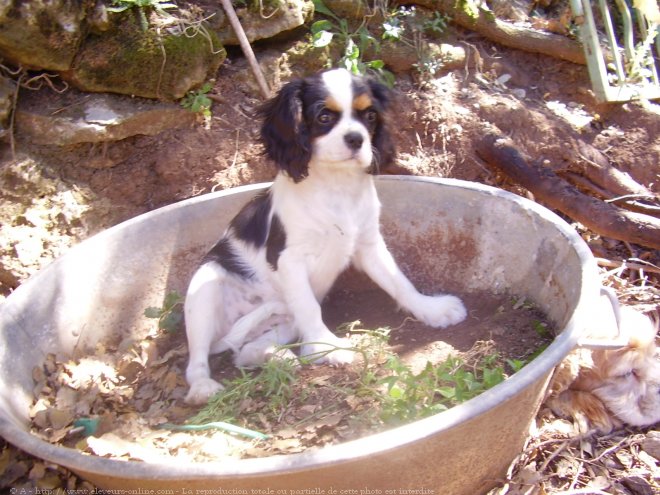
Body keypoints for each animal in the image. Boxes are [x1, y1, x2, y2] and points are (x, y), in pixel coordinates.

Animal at [183, 70, 466, 406]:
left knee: (246, 352)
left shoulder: (369, 244)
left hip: (281, 321)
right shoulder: (289, 260)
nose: (356, 138)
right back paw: (204, 387)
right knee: (196, 360)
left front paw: (432, 309)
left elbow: (400, 282)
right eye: (324, 117)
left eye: (370, 115)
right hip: (205, 288)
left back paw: (280, 358)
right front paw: (326, 347)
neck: (336, 184)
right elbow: (310, 308)